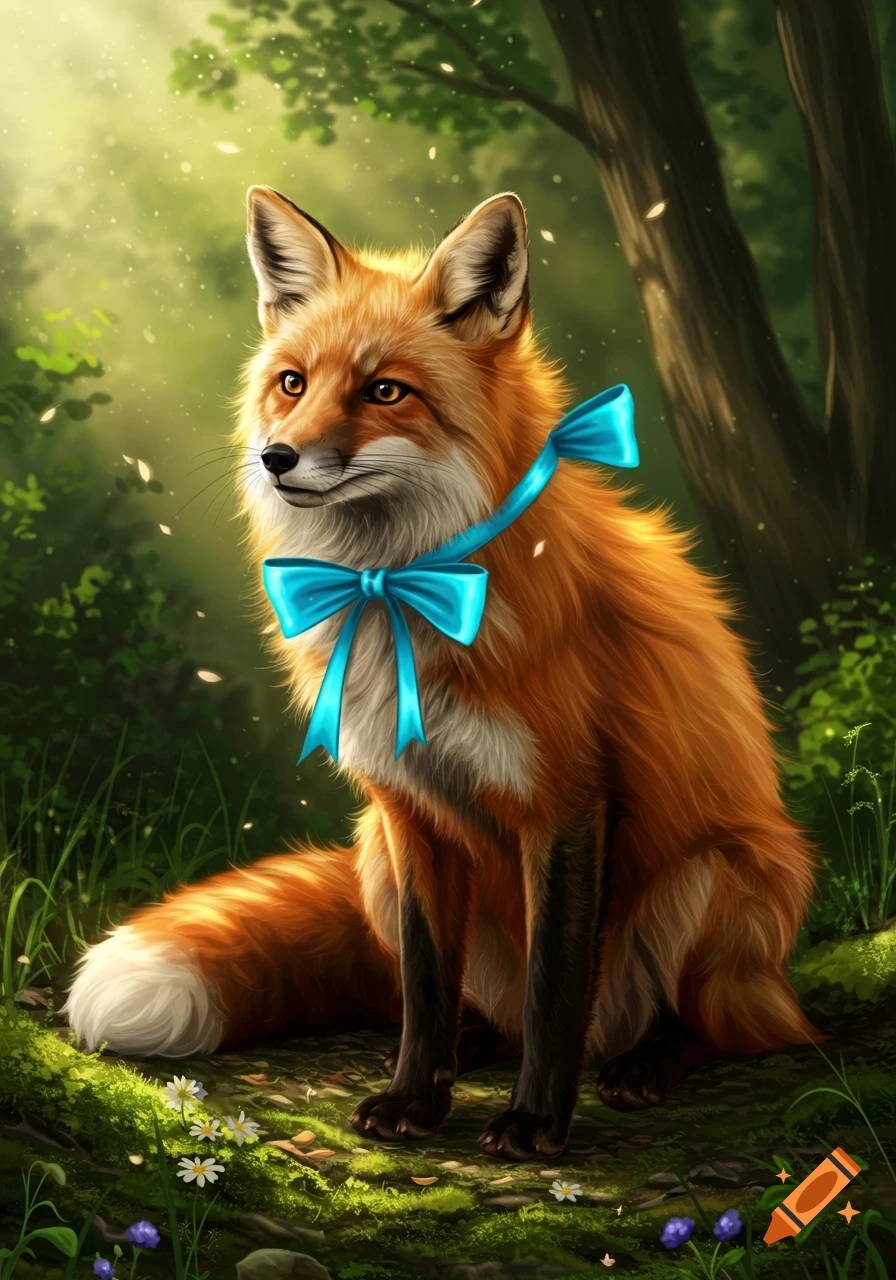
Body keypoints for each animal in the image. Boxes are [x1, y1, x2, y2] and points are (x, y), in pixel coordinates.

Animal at [65, 187, 819, 1160]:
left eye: (385, 391)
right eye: (292, 383)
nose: (277, 457)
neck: (398, 587)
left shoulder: (569, 804)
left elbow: (554, 988)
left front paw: (536, 1123)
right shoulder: (407, 810)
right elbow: (424, 988)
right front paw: (414, 1100)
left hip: (717, 879)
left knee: (732, 1028)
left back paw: (644, 1063)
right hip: (374, 863)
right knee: (472, 1004)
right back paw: (476, 1044)